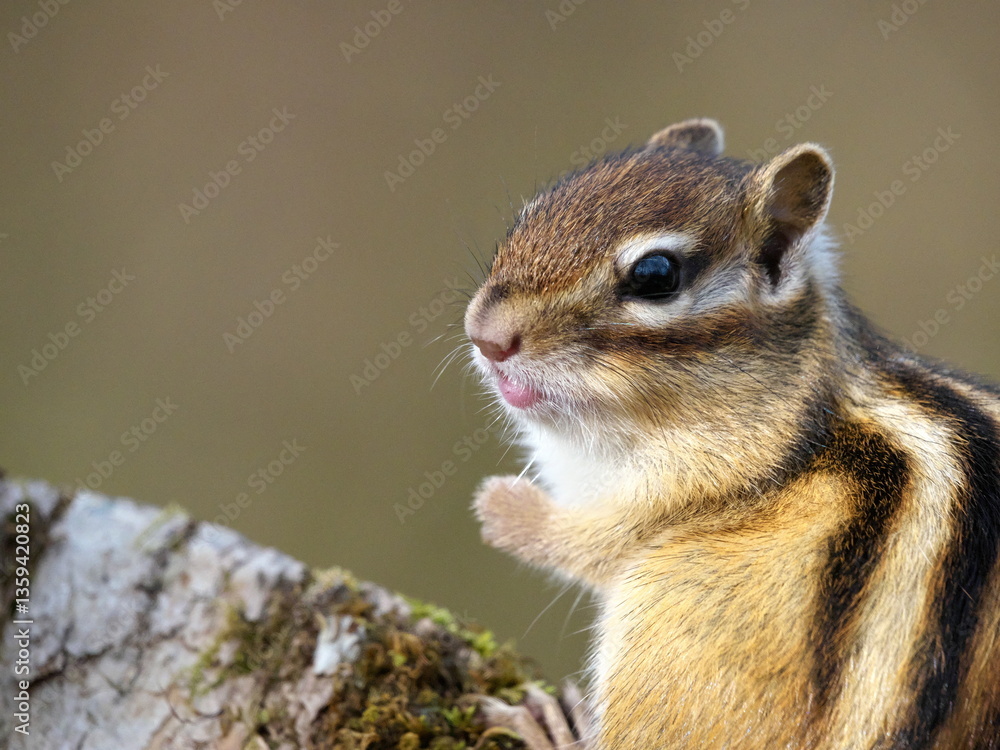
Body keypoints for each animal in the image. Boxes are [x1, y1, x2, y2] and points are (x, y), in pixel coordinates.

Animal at [464, 119, 1000, 749]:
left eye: (655, 275)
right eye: (528, 216)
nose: (485, 335)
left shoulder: (695, 484)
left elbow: (586, 543)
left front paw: (502, 507)